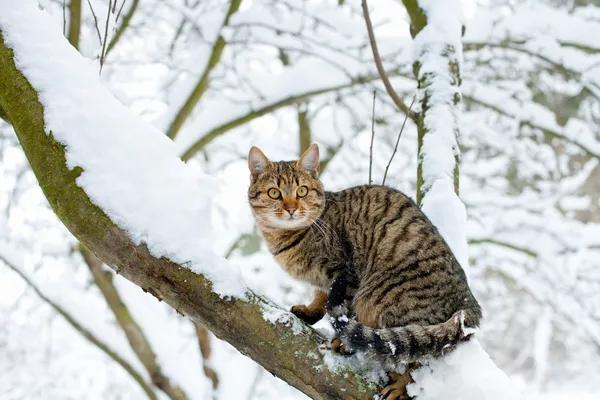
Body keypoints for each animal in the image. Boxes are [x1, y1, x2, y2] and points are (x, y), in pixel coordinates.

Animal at [247, 143, 482, 396]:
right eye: (274, 193)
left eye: (302, 191)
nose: (291, 208)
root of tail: (470, 303)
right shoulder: (323, 282)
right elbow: (321, 299)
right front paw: (310, 310)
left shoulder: (344, 274)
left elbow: (344, 307)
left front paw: (341, 341)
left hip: (383, 299)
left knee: (418, 354)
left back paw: (400, 385)